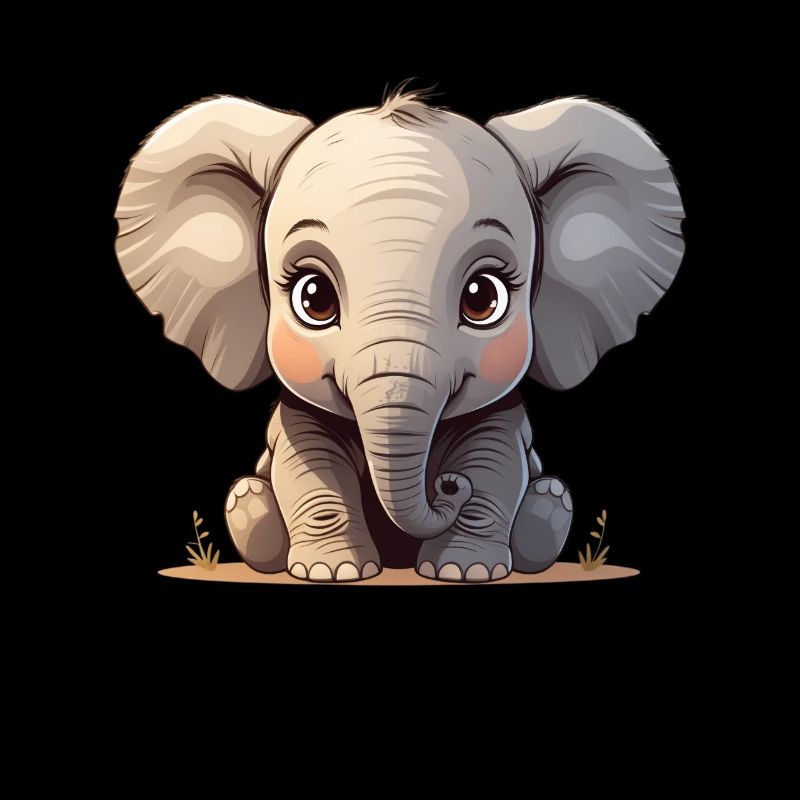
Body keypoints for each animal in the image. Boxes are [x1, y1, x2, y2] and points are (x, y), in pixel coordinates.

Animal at [114, 88, 684, 583]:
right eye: (313, 297)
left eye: (483, 297)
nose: (447, 488)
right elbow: (308, 465)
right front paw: (330, 573)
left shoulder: (501, 412)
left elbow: (494, 461)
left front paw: (464, 572)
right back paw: (247, 506)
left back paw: (550, 506)